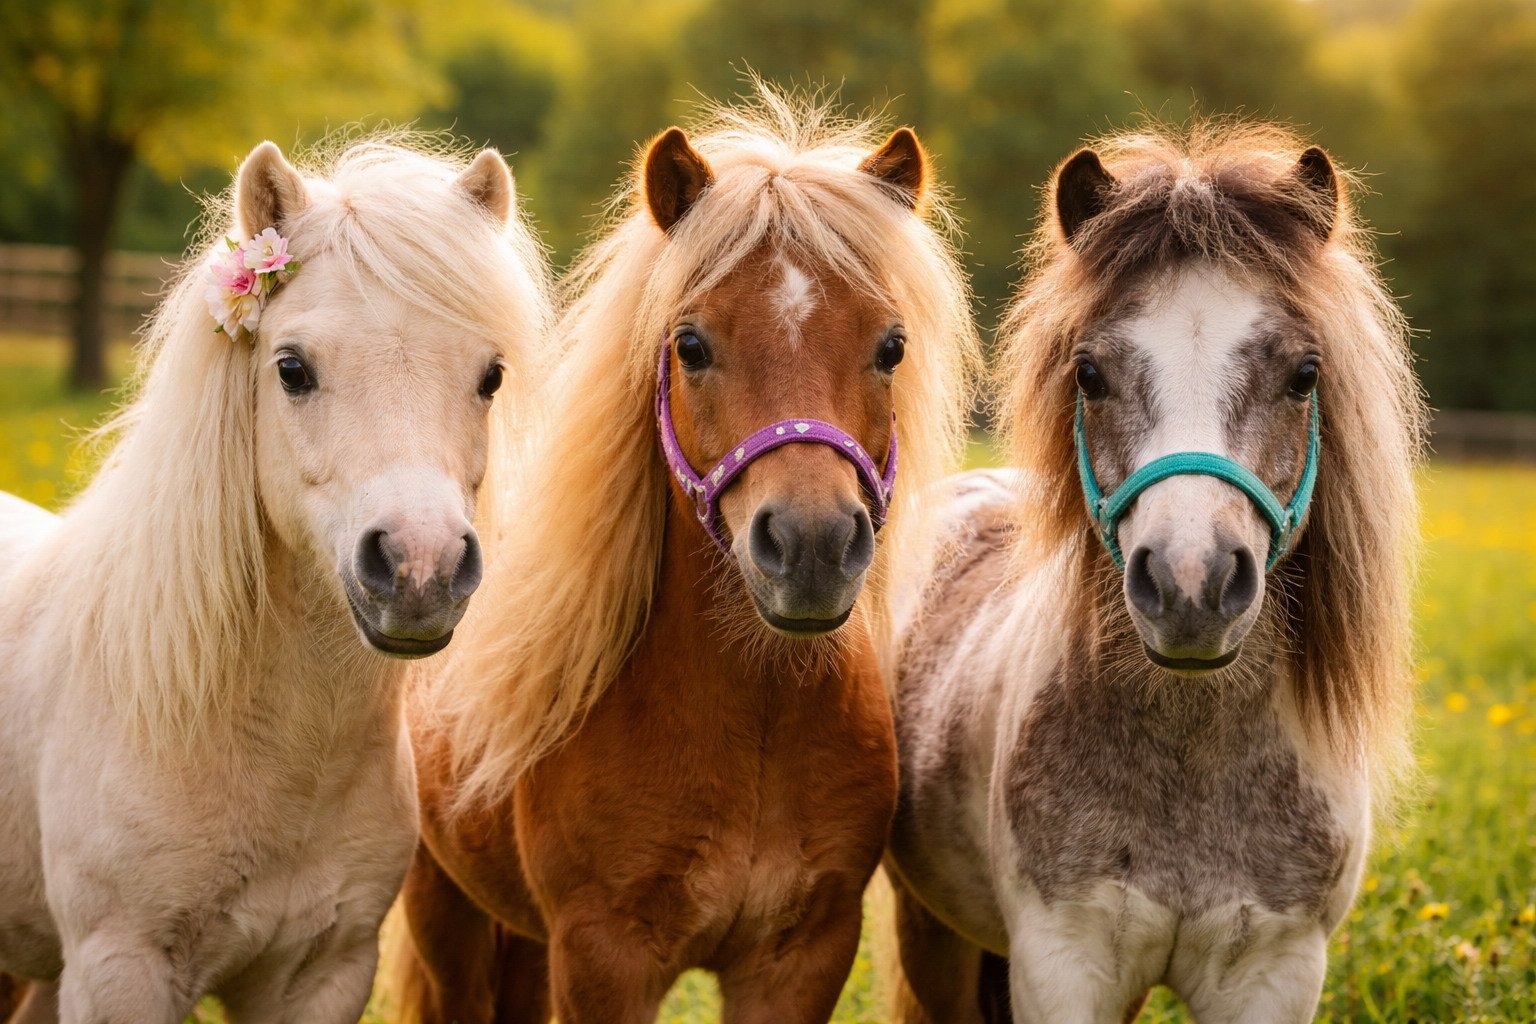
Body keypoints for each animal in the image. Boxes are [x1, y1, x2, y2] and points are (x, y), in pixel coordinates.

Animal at [385, 89, 981, 1024]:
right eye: (691, 345)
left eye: (891, 346)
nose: (811, 544)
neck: (755, 723)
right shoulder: (604, 959)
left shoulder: (801, 957)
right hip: (444, 913)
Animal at [882, 123, 1424, 1024]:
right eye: (1089, 373)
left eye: (1303, 375)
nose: (1189, 586)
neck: (1194, 756)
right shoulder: (1063, 966)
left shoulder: (1273, 973)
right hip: (932, 933)